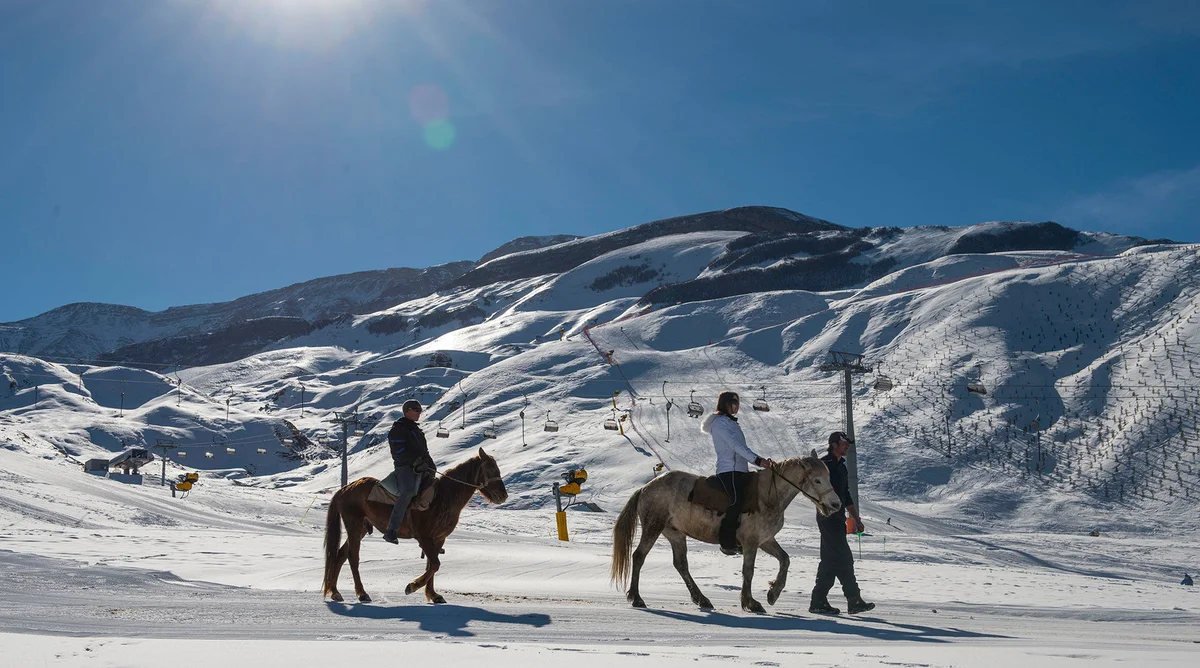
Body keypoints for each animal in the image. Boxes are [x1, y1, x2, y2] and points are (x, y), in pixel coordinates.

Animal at [321, 448, 504, 604]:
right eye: (491, 470)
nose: (503, 496)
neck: (443, 497)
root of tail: (345, 488)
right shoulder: (424, 537)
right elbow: (435, 564)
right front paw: (412, 586)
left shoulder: (438, 539)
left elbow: (431, 565)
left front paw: (433, 595)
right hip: (355, 525)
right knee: (352, 557)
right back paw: (362, 593)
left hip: (362, 529)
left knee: (340, 555)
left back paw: (335, 592)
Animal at [614, 450, 840, 611]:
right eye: (817, 480)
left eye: (829, 478)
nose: (836, 505)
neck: (767, 496)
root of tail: (646, 487)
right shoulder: (750, 542)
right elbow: (748, 571)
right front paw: (751, 603)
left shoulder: (765, 540)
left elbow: (785, 559)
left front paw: (773, 593)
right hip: (653, 527)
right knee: (639, 556)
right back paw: (636, 598)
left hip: (675, 534)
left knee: (681, 565)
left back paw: (702, 599)